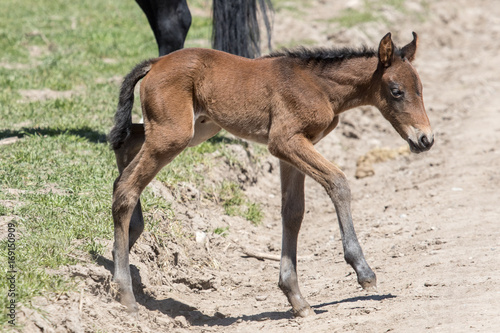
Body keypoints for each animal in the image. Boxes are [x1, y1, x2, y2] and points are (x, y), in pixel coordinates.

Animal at [108, 32, 434, 316]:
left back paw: (123, 249)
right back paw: (125, 293)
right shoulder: (285, 141)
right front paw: (363, 270)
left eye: (421, 89)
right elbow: (338, 182)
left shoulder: (292, 151)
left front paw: (296, 298)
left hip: (192, 129)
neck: (319, 86)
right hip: (174, 133)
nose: (425, 140)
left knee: (126, 148)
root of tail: (155, 63)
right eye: (396, 91)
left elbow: (293, 212)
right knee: (127, 188)